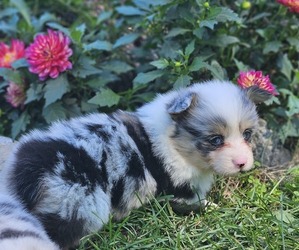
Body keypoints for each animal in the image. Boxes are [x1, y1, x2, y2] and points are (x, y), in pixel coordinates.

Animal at [0, 80, 272, 248]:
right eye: (215, 140)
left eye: (247, 134)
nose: (243, 163)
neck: (174, 140)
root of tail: (24, 175)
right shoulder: (179, 190)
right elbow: (193, 203)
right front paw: (214, 206)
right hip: (80, 204)